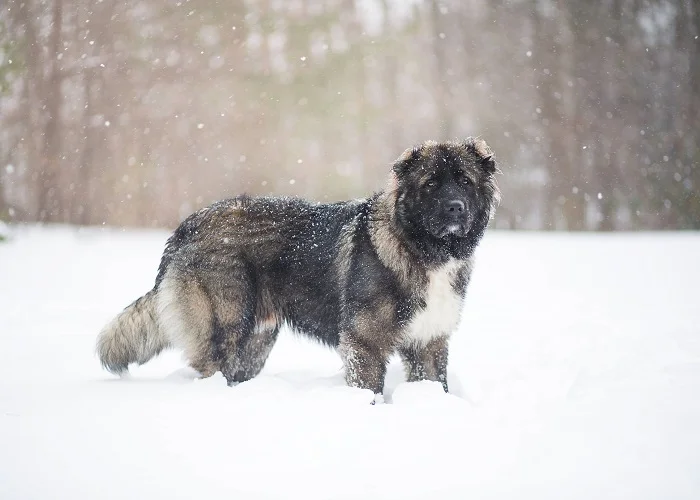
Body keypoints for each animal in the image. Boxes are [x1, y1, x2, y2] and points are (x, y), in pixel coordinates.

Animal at [98, 138, 500, 394]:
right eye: (431, 184)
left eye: (465, 181)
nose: (455, 208)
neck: (421, 248)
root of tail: (187, 225)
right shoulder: (364, 342)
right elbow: (369, 389)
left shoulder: (429, 342)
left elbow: (436, 384)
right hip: (226, 326)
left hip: (257, 341)